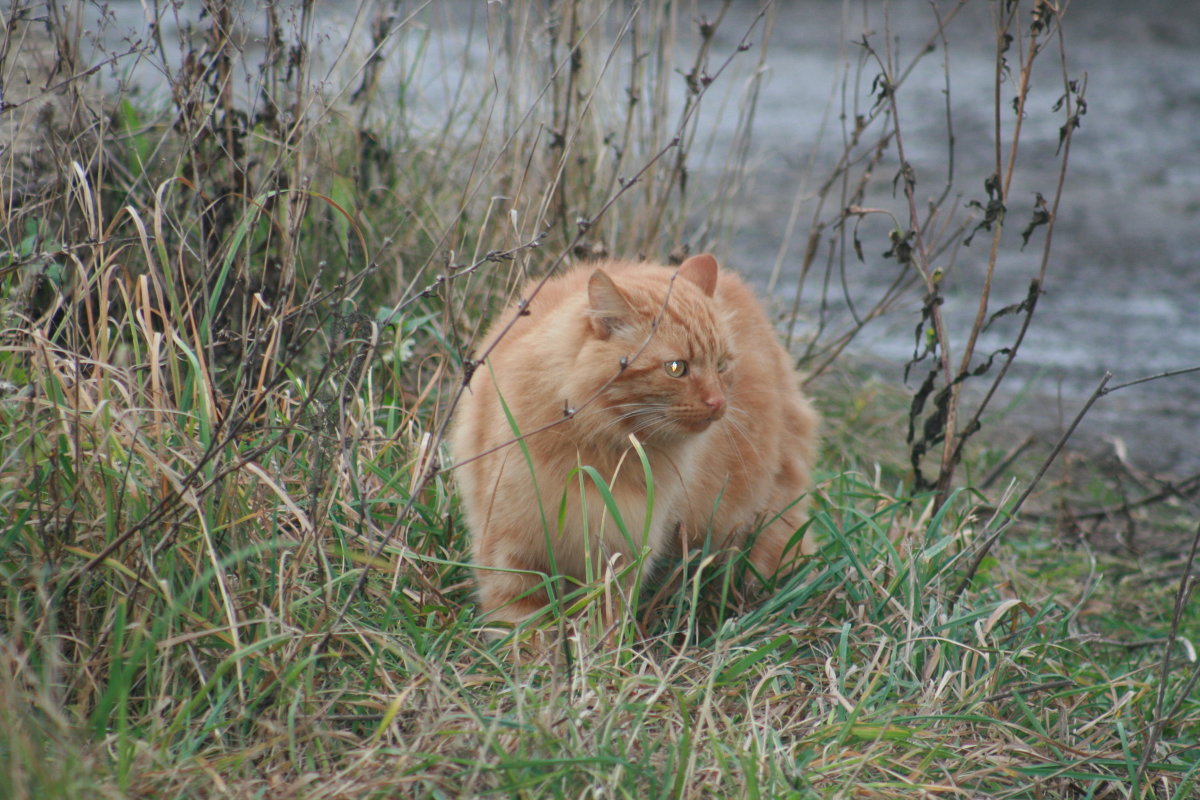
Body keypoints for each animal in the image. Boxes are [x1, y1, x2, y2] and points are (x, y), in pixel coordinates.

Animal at [448, 253, 816, 623]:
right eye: (676, 368)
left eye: (722, 365)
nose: (718, 402)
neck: (594, 454)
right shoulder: (510, 552)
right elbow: (525, 627)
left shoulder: (618, 558)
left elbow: (601, 624)